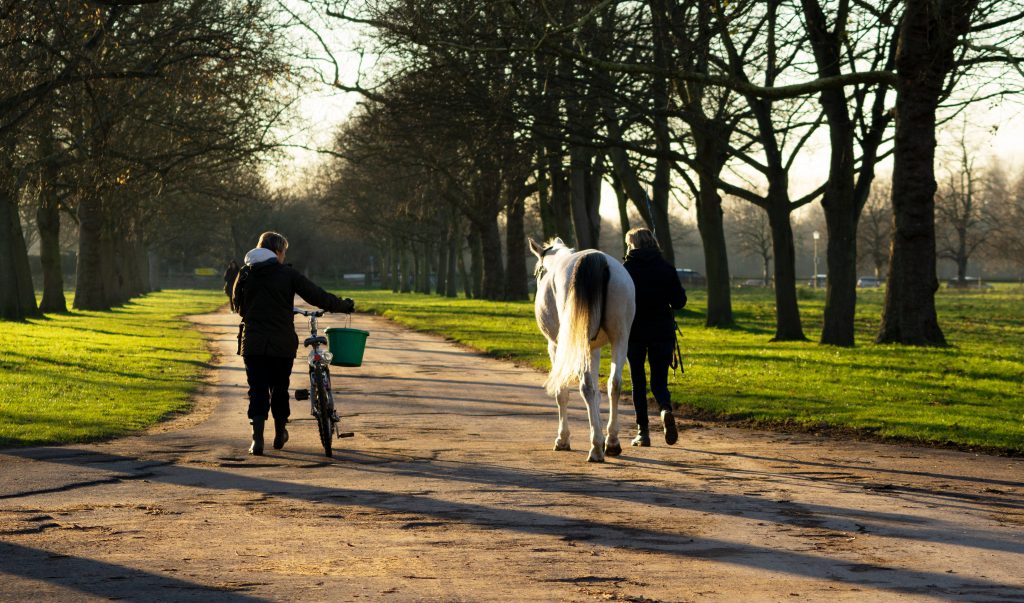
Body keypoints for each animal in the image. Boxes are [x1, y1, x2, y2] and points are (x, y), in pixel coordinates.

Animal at [532, 235, 634, 460]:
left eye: (538, 271)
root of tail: (596, 259)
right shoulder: (594, 349)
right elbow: (598, 391)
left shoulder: (556, 347)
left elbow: (563, 392)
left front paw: (563, 439)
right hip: (620, 339)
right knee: (614, 384)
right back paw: (611, 441)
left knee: (585, 387)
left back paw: (595, 448)